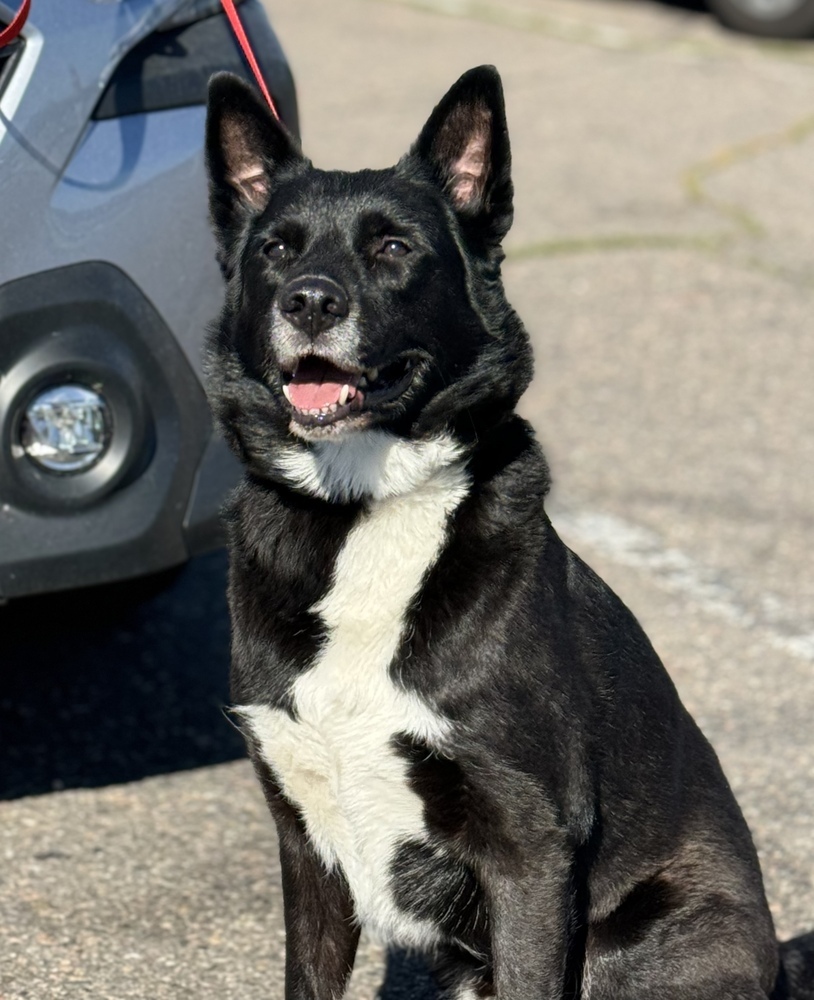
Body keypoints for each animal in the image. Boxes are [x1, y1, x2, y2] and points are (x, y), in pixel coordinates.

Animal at [206, 66, 814, 996]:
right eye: (276, 250)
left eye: (393, 249)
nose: (309, 301)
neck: (363, 510)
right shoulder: (307, 850)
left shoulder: (526, 849)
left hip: (635, 946)